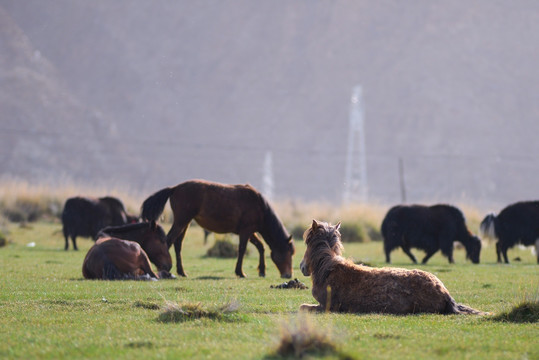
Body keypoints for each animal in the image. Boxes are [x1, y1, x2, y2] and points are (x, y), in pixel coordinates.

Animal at [140, 180, 296, 278]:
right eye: (287, 253)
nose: (288, 275)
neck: (259, 206)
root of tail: (174, 188)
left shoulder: (250, 232)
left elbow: (260, 247)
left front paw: (262, 271)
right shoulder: (246, 231)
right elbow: (242, 249)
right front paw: (240, 272)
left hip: (185, 223)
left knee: (178, 244)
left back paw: (182, 271)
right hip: (181, 221)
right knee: (169, 240)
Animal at [300, 219, 486, 316]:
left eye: (307, 243)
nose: (302, 267)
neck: (327, 269)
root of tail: (445, 294)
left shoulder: (326, 308)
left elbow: (303, 307)